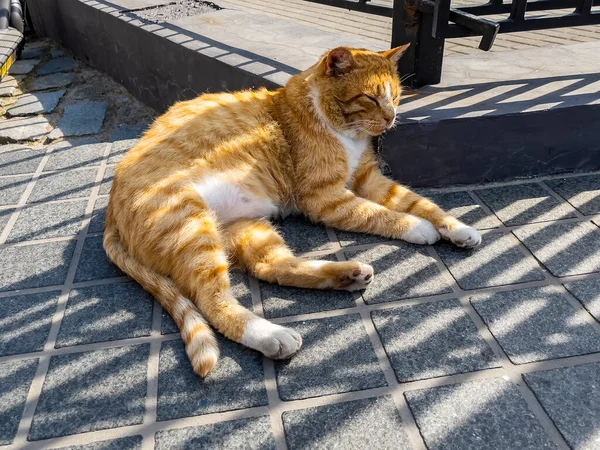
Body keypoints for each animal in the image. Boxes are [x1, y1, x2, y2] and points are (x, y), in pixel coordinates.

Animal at [102, 44, 478, 376]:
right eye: (371, 98)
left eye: (397, 96)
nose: (392, 117)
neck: (342, 130)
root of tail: (109, 212)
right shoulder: (325, 198)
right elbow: (381, 214)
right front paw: (418, 227)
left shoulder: (371, 180)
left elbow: (422, 203)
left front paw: (457, 228)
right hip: (191, 224)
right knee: (214, 302)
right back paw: (271, 335)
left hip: (246, 228)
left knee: (271, 267)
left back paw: (347, 274)